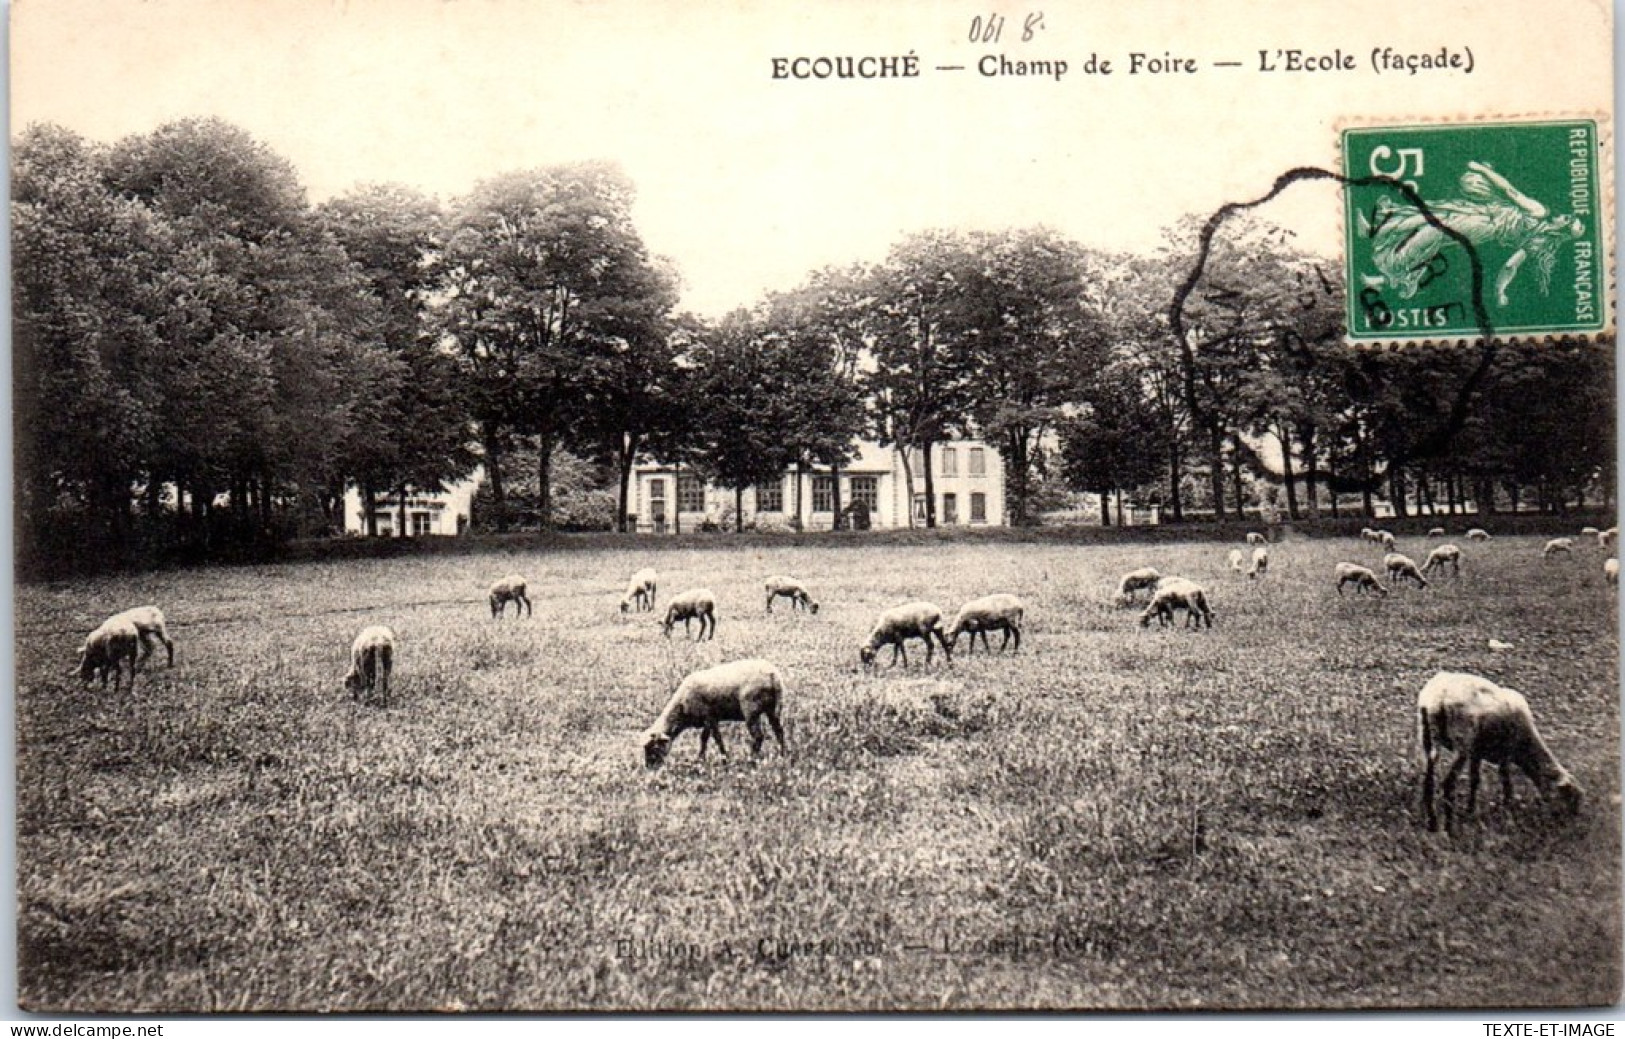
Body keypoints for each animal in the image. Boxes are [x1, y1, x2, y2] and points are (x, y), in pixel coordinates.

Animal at [640, 663, 786, 767]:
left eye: (653, 747)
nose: (649, 767)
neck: (681, 708)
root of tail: (773, 675)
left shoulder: (709, 717)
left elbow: (712, 738)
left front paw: (718, 759)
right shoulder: (710, 719)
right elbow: (708, 738)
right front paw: (709, 758)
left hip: (751, 710)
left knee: (758, 736)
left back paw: (751, 760)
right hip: (771, 709)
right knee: (779, 731)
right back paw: (783, 754)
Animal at [1417, 669, 1579, 832]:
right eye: (1568, 797)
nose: (1571, 825)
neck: (1526, 746)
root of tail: (1438, 698)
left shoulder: (1476, 753)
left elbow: (1475, 780)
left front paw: (1470, 812)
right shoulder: (1506, 752)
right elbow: (1507, 784)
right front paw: (1510, 814)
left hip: (1427, 736)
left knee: (1428, 780)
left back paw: (1432, 823)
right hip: (1462, 740)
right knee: (1448, 783)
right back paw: (1449, 828)